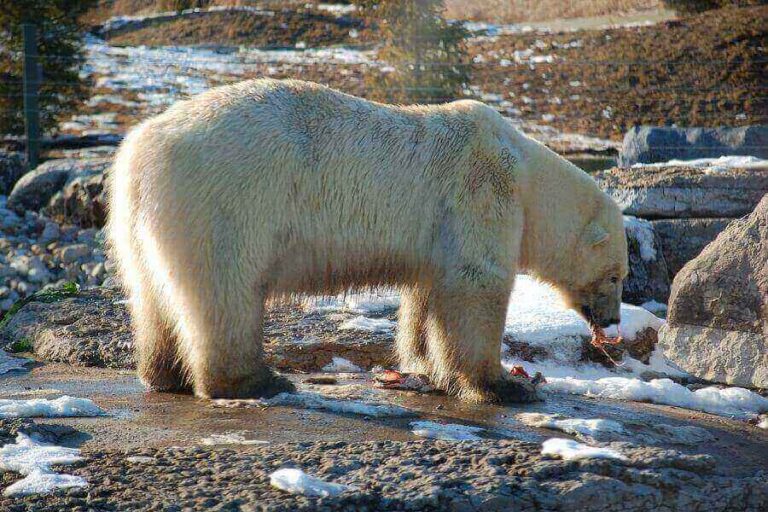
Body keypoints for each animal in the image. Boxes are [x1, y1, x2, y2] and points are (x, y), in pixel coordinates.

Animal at [106, 78, 628, 403]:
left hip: (139, 223)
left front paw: (424, 366)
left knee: (153, 295)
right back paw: (256, 380)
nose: (613, 320)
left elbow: (428, 294)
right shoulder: (481, 191)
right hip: (225, 199)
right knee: (226, 290)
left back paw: (163, 374)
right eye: (617, 276)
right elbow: (475, 284)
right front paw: (504, 385)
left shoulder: (439, 232)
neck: (527, 174)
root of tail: (139, 152)